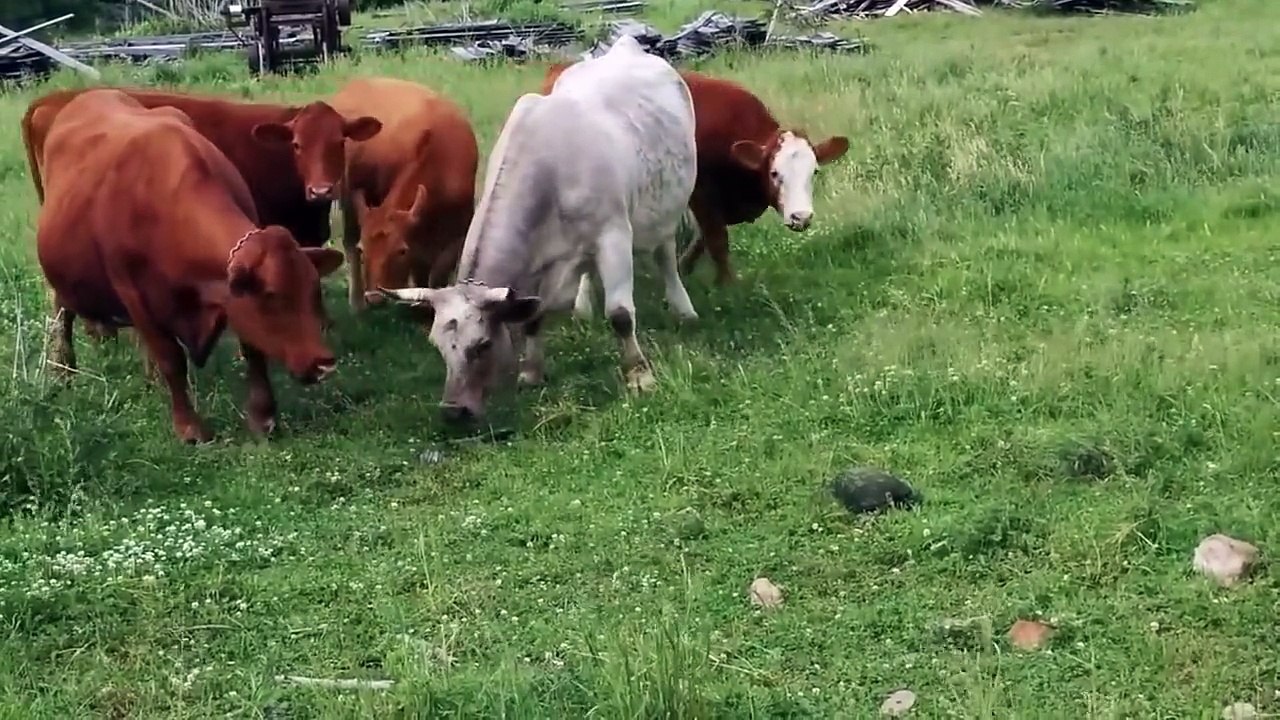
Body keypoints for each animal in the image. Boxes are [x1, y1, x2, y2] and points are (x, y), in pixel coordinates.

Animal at [35, 88, 345, 444]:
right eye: (271, 297)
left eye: (313, 291)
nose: (324, 363)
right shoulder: (134, 294)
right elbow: (171, 358)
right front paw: (189, 427)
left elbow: (253, 350)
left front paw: (262, 416)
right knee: (62, 309)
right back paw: (63, 367)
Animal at [326, 77, 479, 312]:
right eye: (365, 249)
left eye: (400, 251)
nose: (374, 298)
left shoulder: (457, 236)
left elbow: (437, 273)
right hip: (348, 201)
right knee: (349, 243)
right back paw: (357, 302)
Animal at [369, 35, 699, 425]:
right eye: (437, 346)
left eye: (482, 345)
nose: (453, 411)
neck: (550, 171)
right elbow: (533, 317)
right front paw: (531, 371)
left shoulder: (614, 235)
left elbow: (620, 315)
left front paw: (639, 376)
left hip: (666, 207)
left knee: (665, 255)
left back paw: (683, 307)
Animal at [542, 63, 850, 286]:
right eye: (774, 173)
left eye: (815, 171)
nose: (802, 217)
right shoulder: (701, 193)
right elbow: (716, 239)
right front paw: (727, 284)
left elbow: (705, 237)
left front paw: (685, 267)